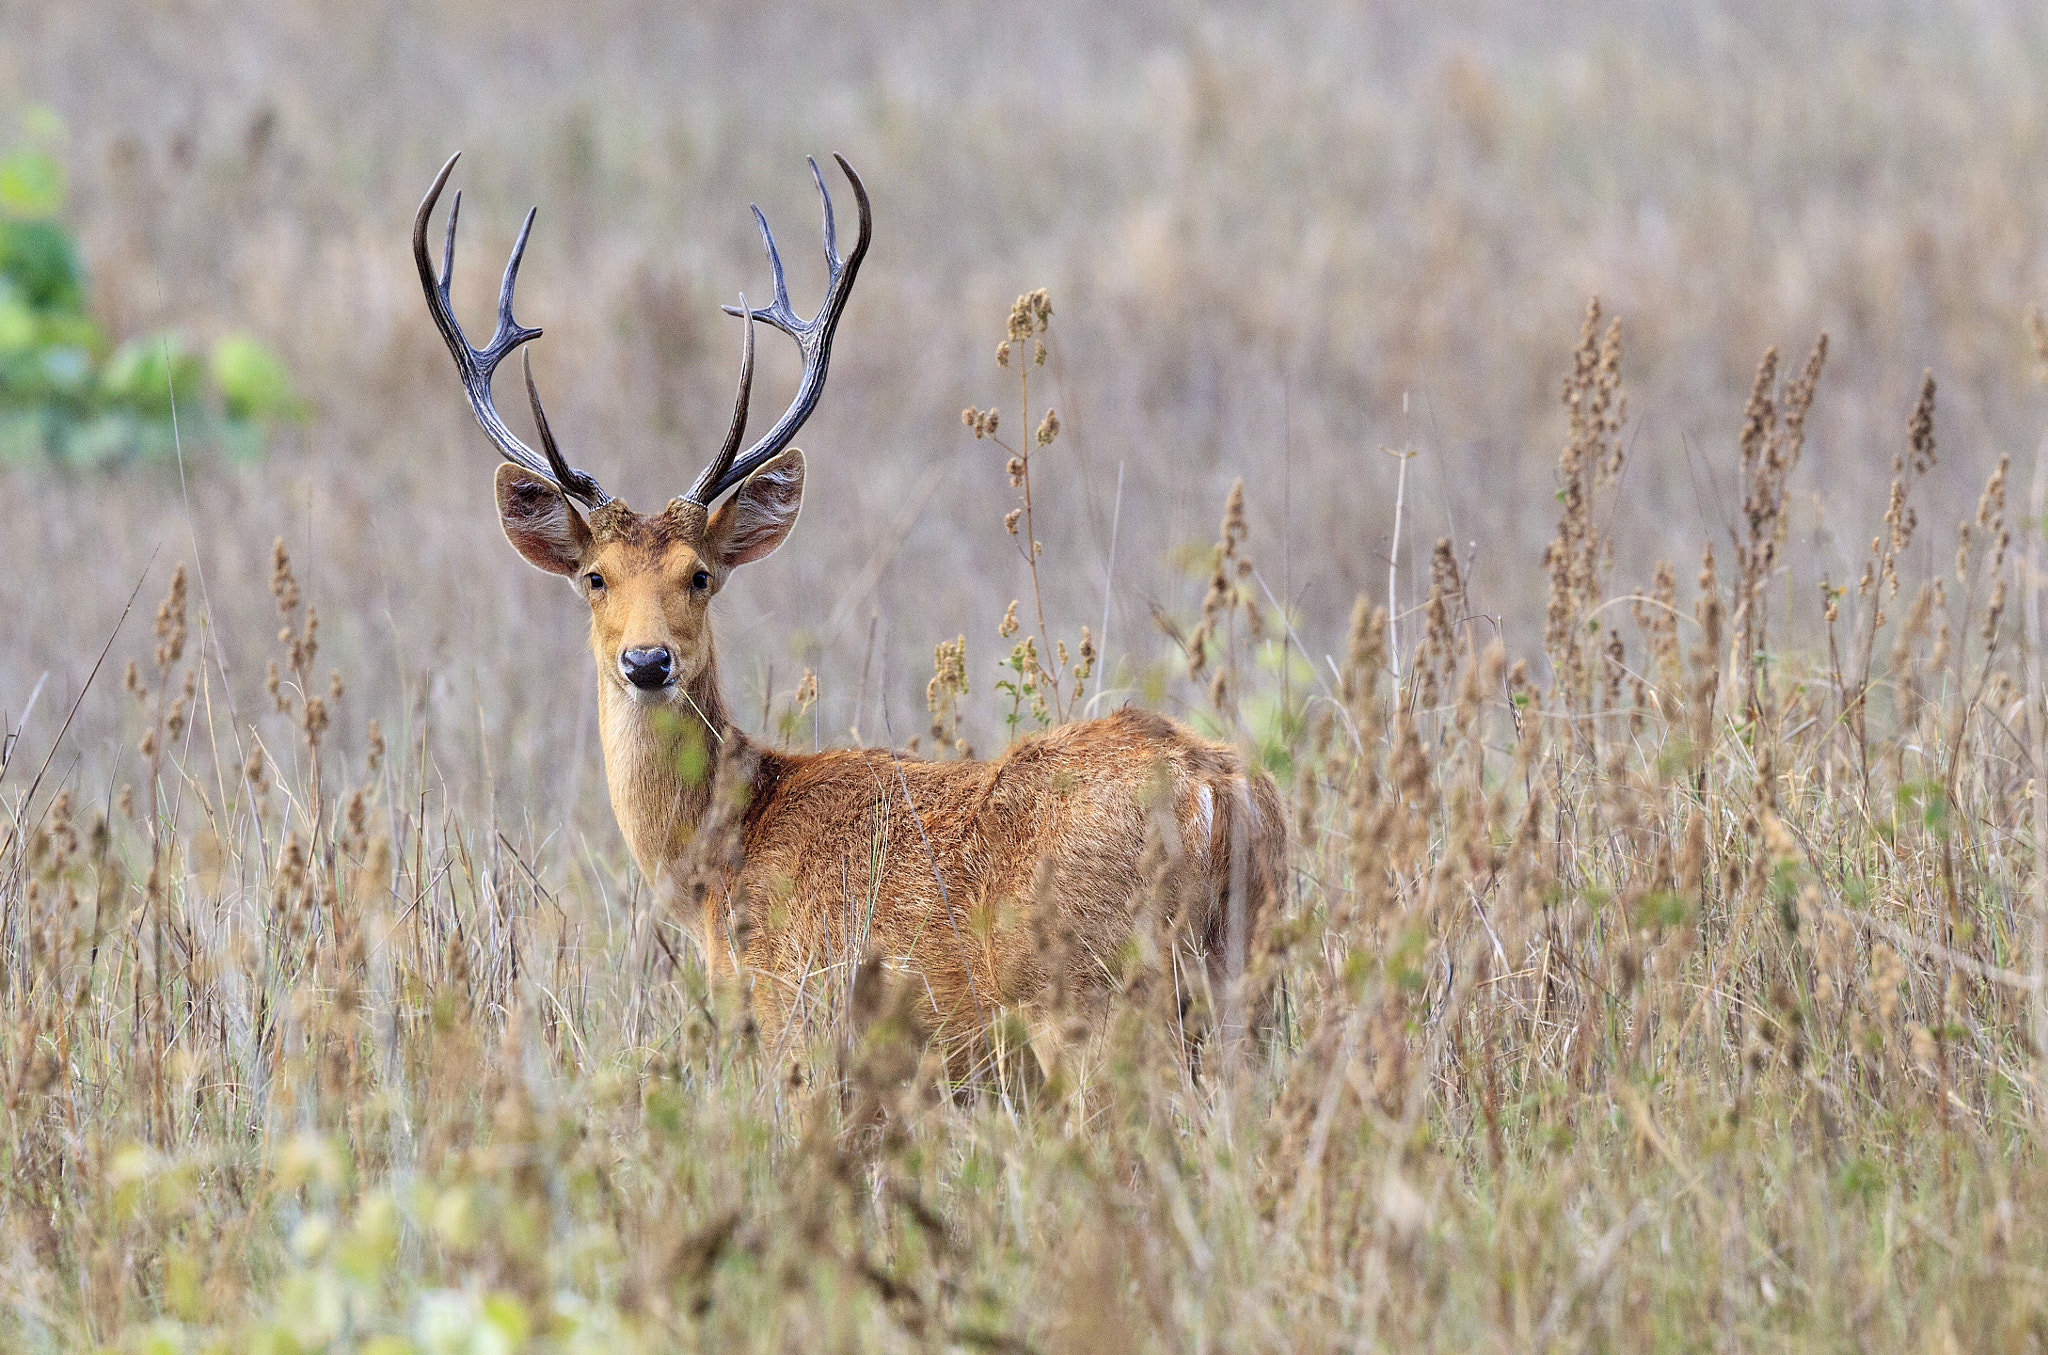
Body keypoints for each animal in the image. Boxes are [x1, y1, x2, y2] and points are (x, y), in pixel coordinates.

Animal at [413, 148, 1277, 1064]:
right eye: (596, 577)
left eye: (699, 574)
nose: (647, 661)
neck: (722, 857)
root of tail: (1221, 792)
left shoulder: (798, 1011)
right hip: (1243, 989)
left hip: (1094, 1002)